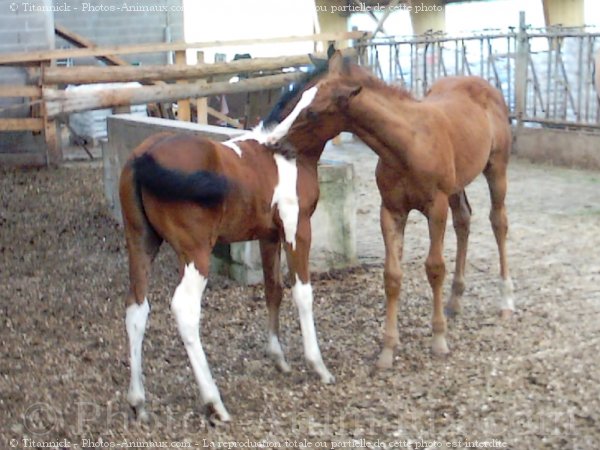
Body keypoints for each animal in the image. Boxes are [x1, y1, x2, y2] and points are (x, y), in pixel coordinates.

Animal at [118, 73, 332, 422]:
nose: (282, 141)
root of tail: (141, 159)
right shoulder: (296, 229)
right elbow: (302, 293)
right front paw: (318, 366)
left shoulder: (268, 235)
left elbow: (273, 289)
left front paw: (279, 359)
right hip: (195, 254)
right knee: (185, 309)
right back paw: (214, 402)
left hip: (140, 243)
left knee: (136, 309)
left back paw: (138, 402)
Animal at [268, 52, 516, 370]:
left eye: (311, 113)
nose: (273, 141)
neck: (407, 144)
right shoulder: (391, 210)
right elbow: (392, 276)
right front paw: (387, 350)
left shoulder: (435, 208)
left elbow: (435, 268)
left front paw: (438, 340)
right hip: (457, 184)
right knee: (464, 220)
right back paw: (455, 301)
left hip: (496, 168)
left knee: (498, 222)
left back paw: (506, 301)